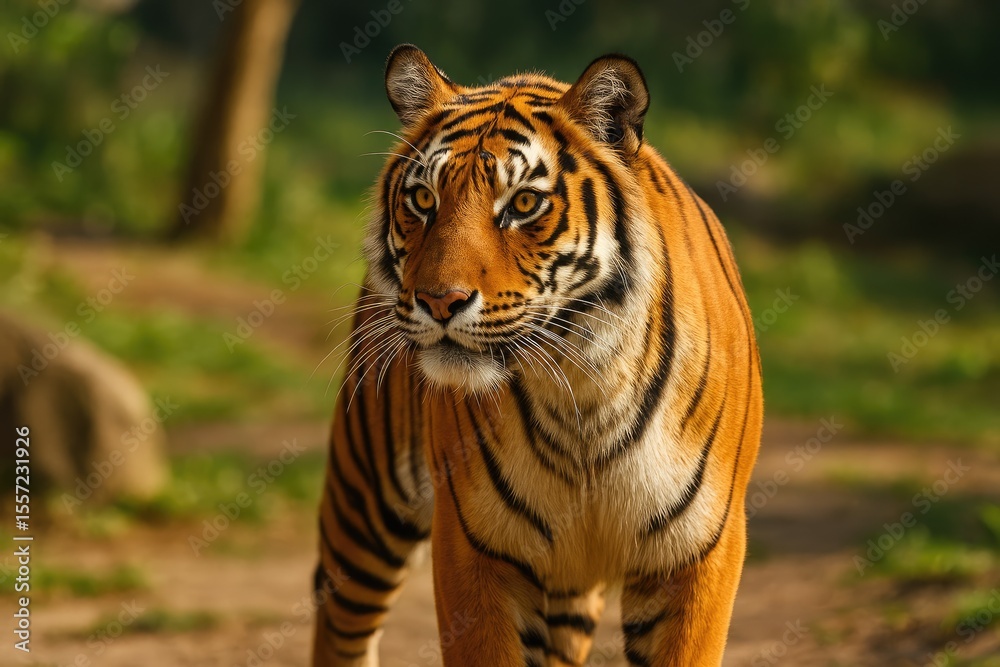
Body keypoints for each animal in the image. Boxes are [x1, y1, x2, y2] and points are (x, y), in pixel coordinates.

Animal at [312, 44, 763, 667]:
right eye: (424, 199)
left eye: (524, 203)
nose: (438, 300)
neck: (584, 384)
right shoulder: (474, 546)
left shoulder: (697, 552)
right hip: (365, 504)